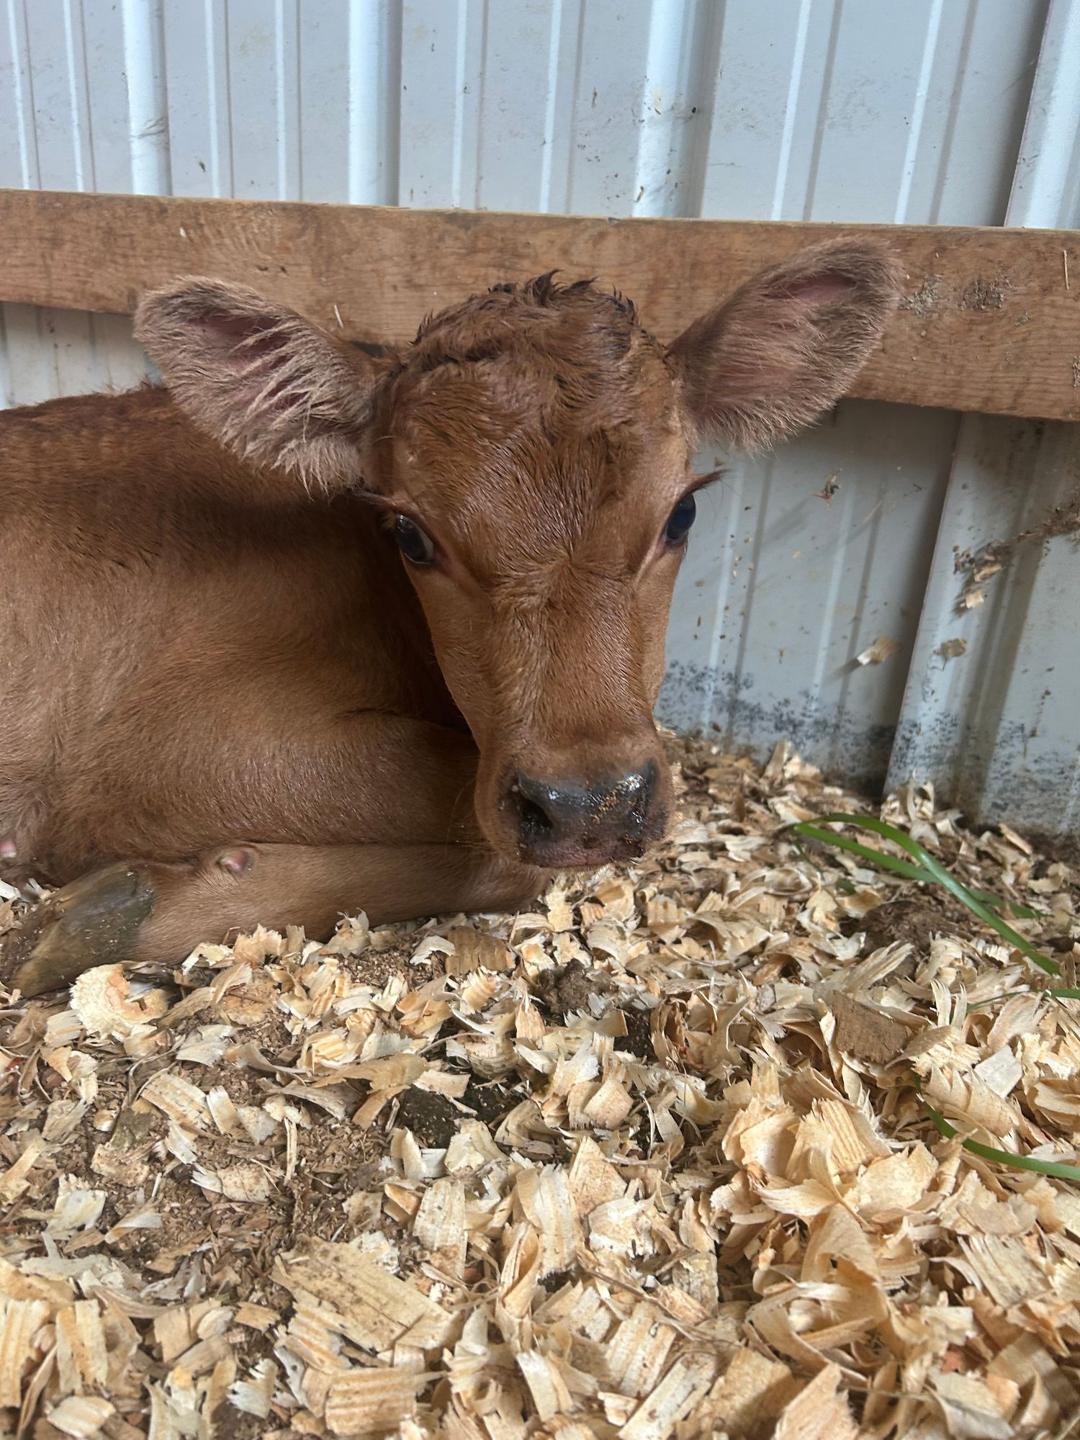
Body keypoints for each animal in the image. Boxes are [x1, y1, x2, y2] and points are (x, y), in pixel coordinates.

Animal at [0, 240, 899, 995]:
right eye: (411, 534)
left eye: (681, 514)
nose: (591, 806)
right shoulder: (143, 758)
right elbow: (488, 837)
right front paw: (110, 912)